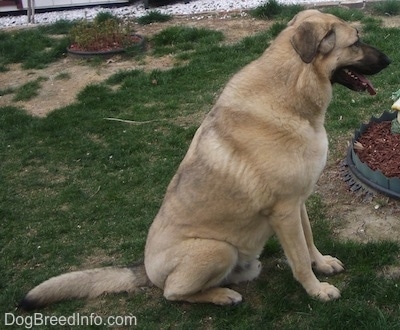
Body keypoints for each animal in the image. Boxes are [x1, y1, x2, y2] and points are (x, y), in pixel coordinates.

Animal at [19, 10, 390, 310]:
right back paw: (222, 296)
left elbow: (308, 239)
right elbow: (298, 258)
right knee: (172, 293)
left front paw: (322, 264)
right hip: (216, 250)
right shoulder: (284, 211)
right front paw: (317, 290)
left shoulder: (296, 203)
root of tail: (145, 271)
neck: (290, 93)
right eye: (357, 41)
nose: (388, 60)